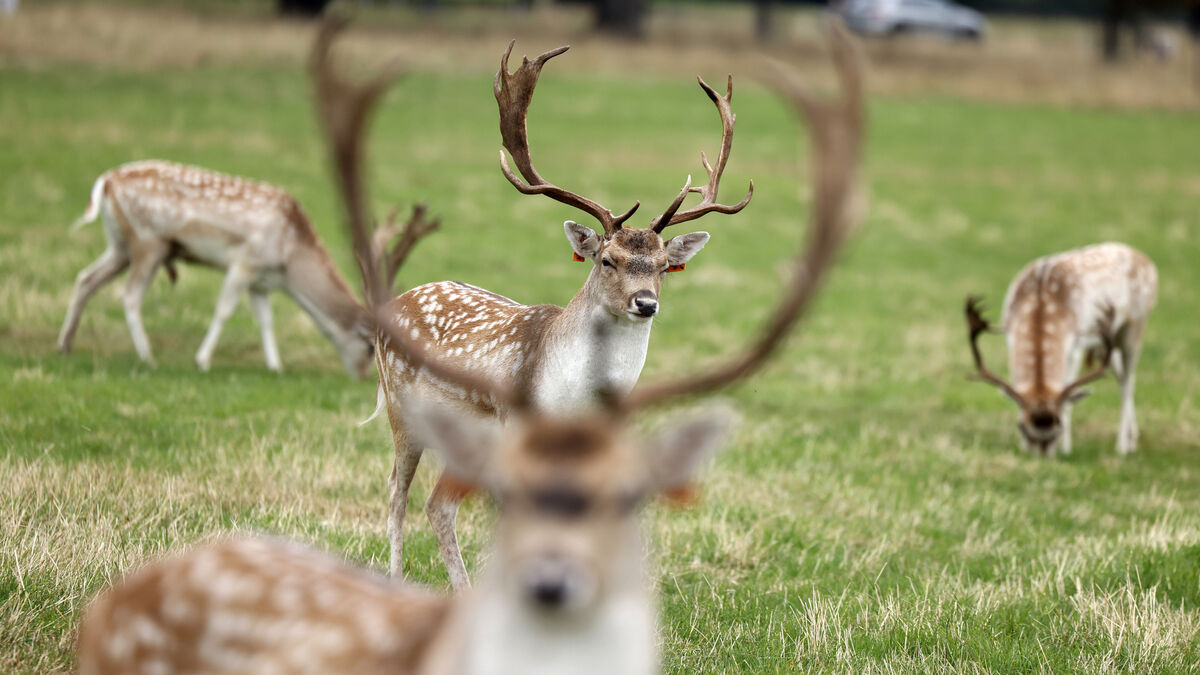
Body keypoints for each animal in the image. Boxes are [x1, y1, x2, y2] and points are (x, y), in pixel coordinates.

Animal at [57, 160, 437, 377]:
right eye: (371, 347)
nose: (363, 376)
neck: (289, 259)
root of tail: (105, 182)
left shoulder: (261, 281)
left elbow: (265, 319)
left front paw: (275, 366)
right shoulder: (244, 261)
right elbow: (224, 310)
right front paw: (202, 360)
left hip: (120, 245)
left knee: (85, 279)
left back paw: (65, 346)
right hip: (149, 242)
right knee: (129, 294)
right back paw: (147, 356)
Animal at [370, 37, 760, 589]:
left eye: (665, 265)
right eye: (607, 259)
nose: (646, 303)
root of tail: (402, 298)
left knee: (437, 504)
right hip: (401, 407)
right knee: (396, 495)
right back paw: (395, 579)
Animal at [964, 242, 1157, 457]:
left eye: (1059, 426)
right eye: (1021, 427)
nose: (1042, 456)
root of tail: (1147, 261)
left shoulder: (1075, 344)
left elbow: (1068, 394)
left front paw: (1066, 448)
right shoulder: (1010, 337)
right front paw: (1022, 446)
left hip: (1135, 328)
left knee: (1129, 380)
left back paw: (1122, 446)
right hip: (1108, 343)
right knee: (1121, 376)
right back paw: (1133, 439)